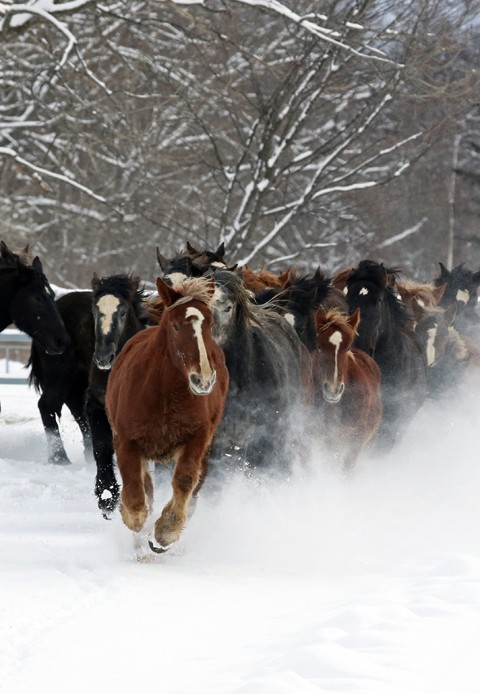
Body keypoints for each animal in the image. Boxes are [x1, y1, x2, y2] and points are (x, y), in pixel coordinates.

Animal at [105, 278, 229, 556]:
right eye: (175, 325)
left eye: (209, 324)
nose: (203, 379)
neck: (164, 395)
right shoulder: (126, 441)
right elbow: (135, 494)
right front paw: (135, 522)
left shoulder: (197, 438)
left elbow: (184, 481)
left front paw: (163, 534)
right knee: (146, 487)